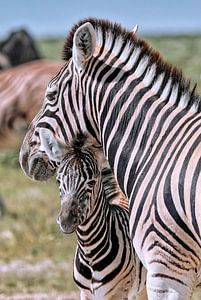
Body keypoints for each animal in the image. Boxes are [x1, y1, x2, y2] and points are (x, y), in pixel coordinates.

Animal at [39, 131, 146, 300]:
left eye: (91, 183)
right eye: (58, 181)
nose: (66, 221)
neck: (89, 251)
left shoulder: (118, 293)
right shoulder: (85, 294)